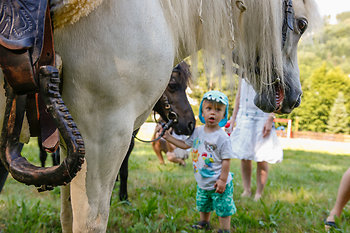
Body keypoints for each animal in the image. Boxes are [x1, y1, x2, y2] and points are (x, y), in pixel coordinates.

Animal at [0, 0, 318, 231]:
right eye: (302, 25)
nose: (295, 96)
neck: (159, 13)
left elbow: (69, 215)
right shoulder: (102, 135)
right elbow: (90, 221)